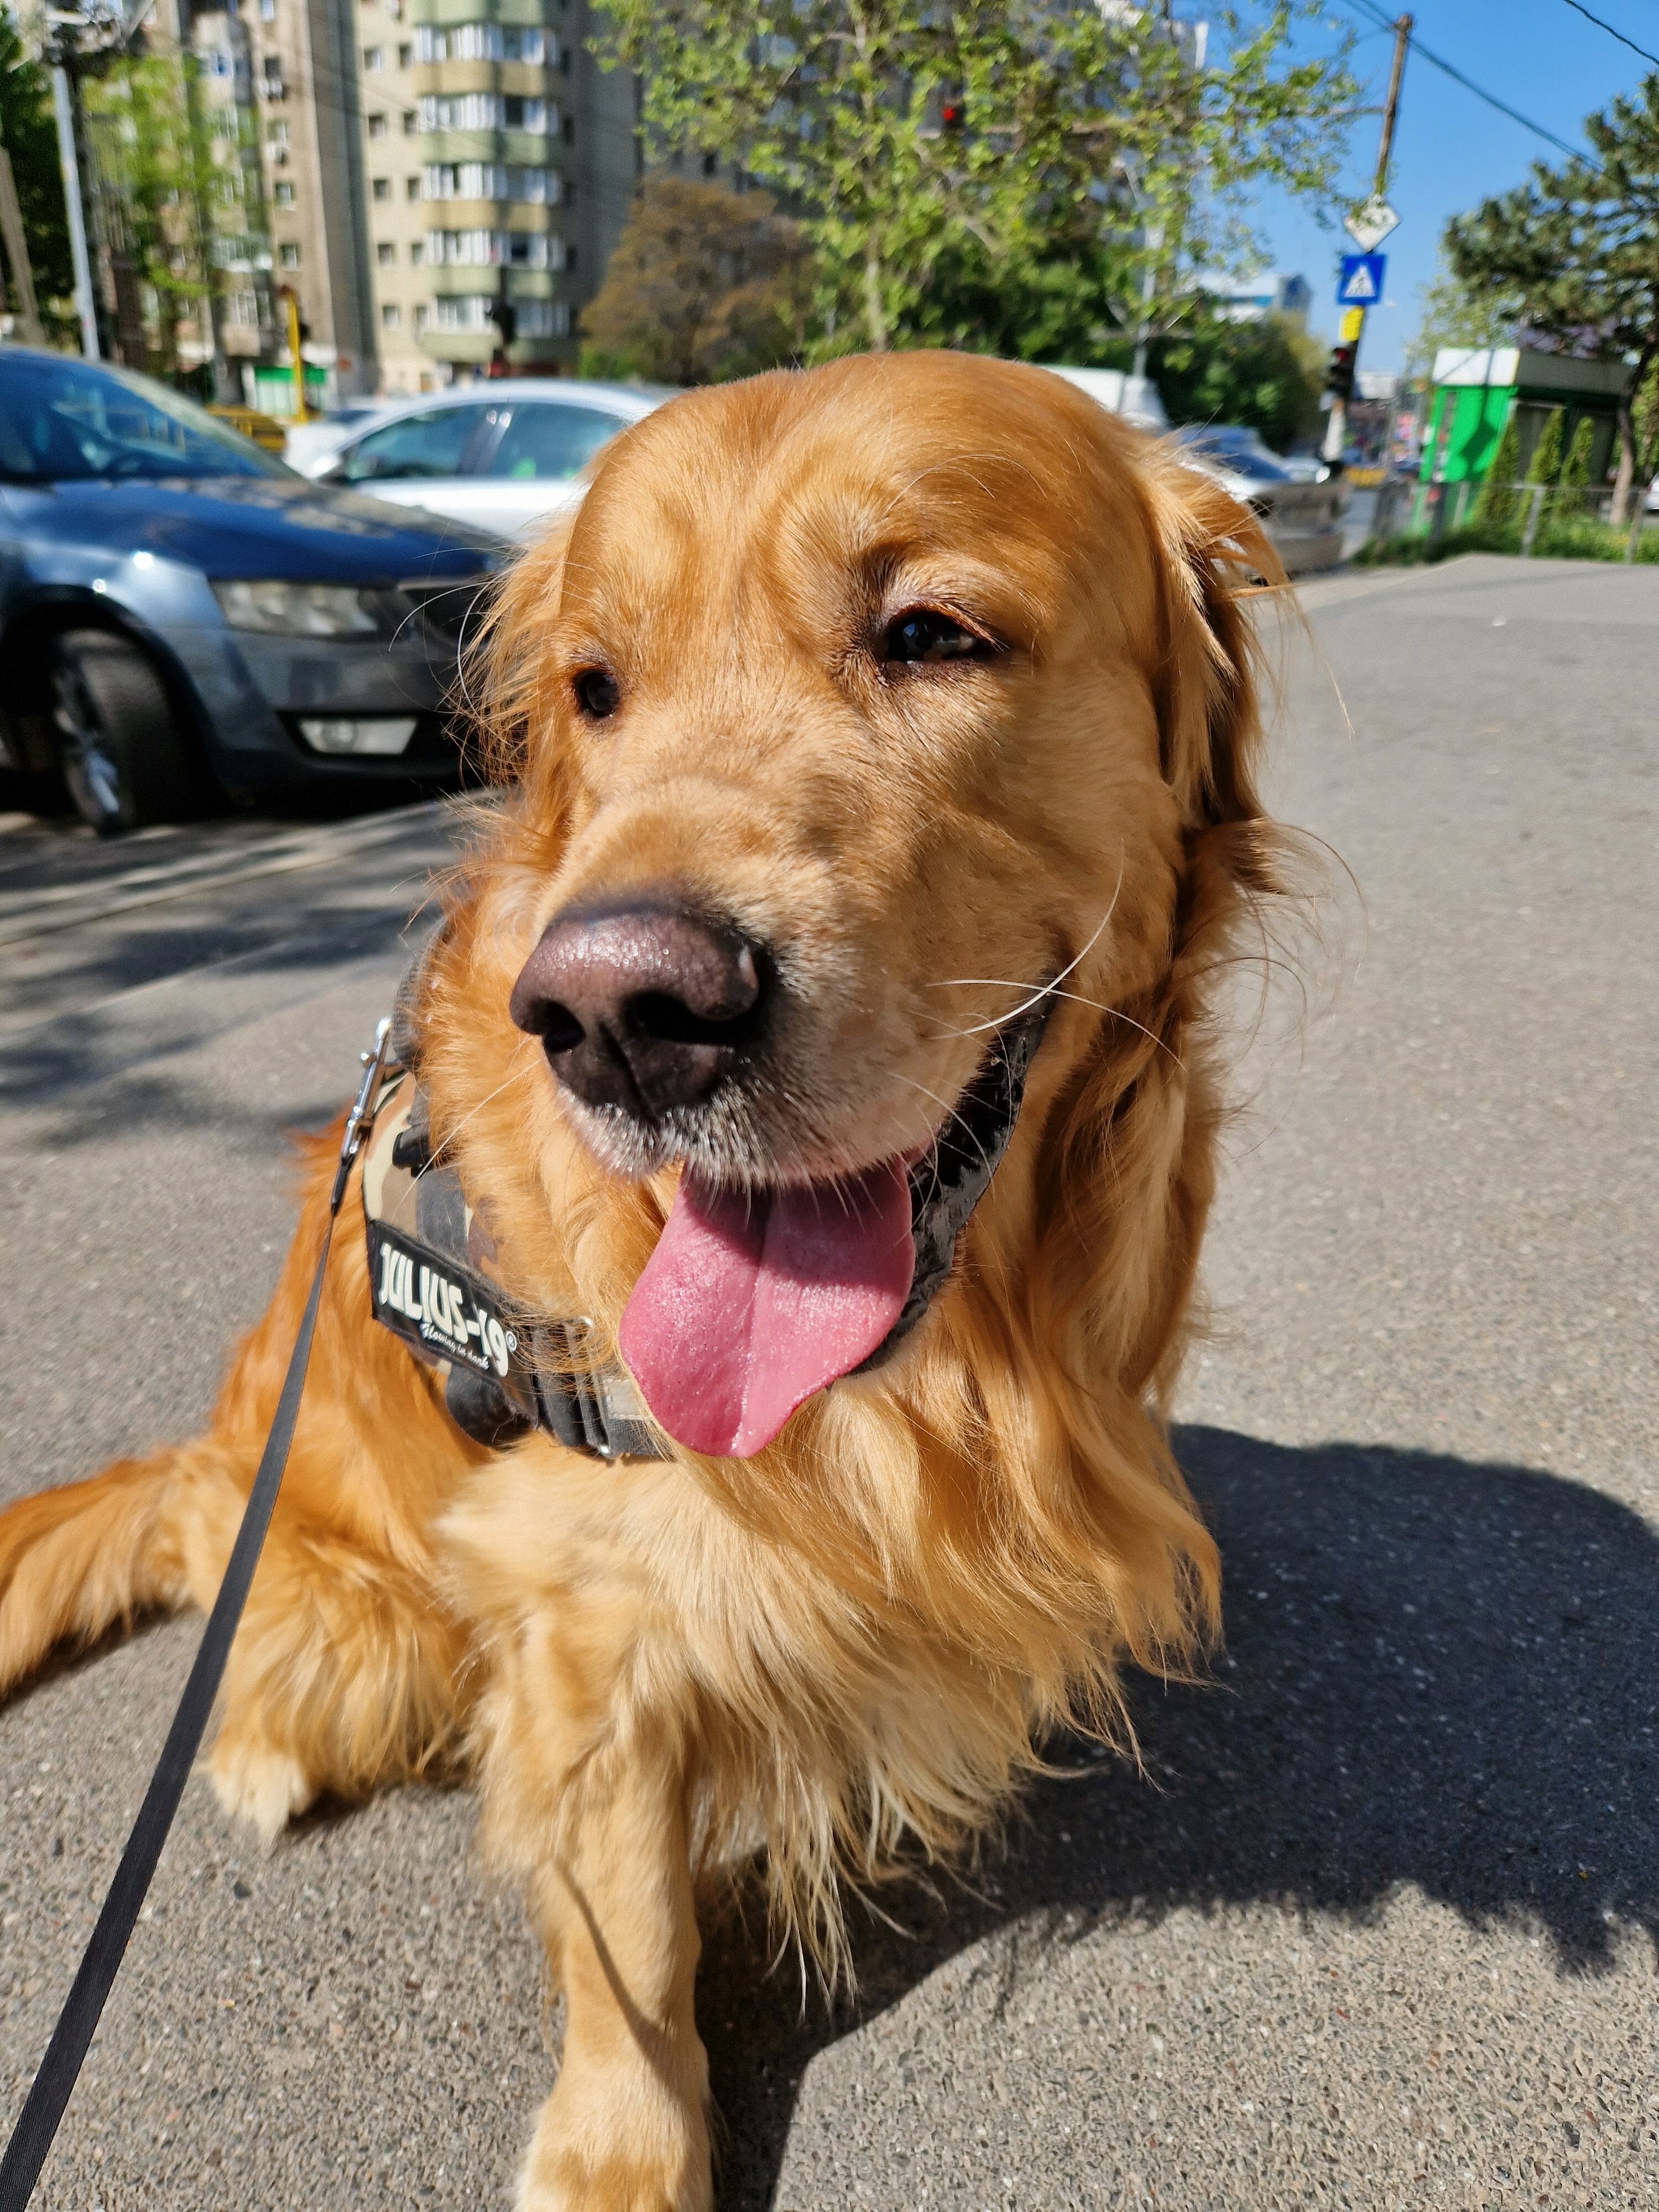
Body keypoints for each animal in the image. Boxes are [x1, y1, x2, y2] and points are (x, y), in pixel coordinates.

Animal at [0, 350, 1292, 2209]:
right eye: (595, 689)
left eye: (932, 634)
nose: (617, 1013)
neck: (928, 1380)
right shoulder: (577, 1605)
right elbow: (627, 1928)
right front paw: (623, 2149)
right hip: (349, 1604)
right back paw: (252, 1743)